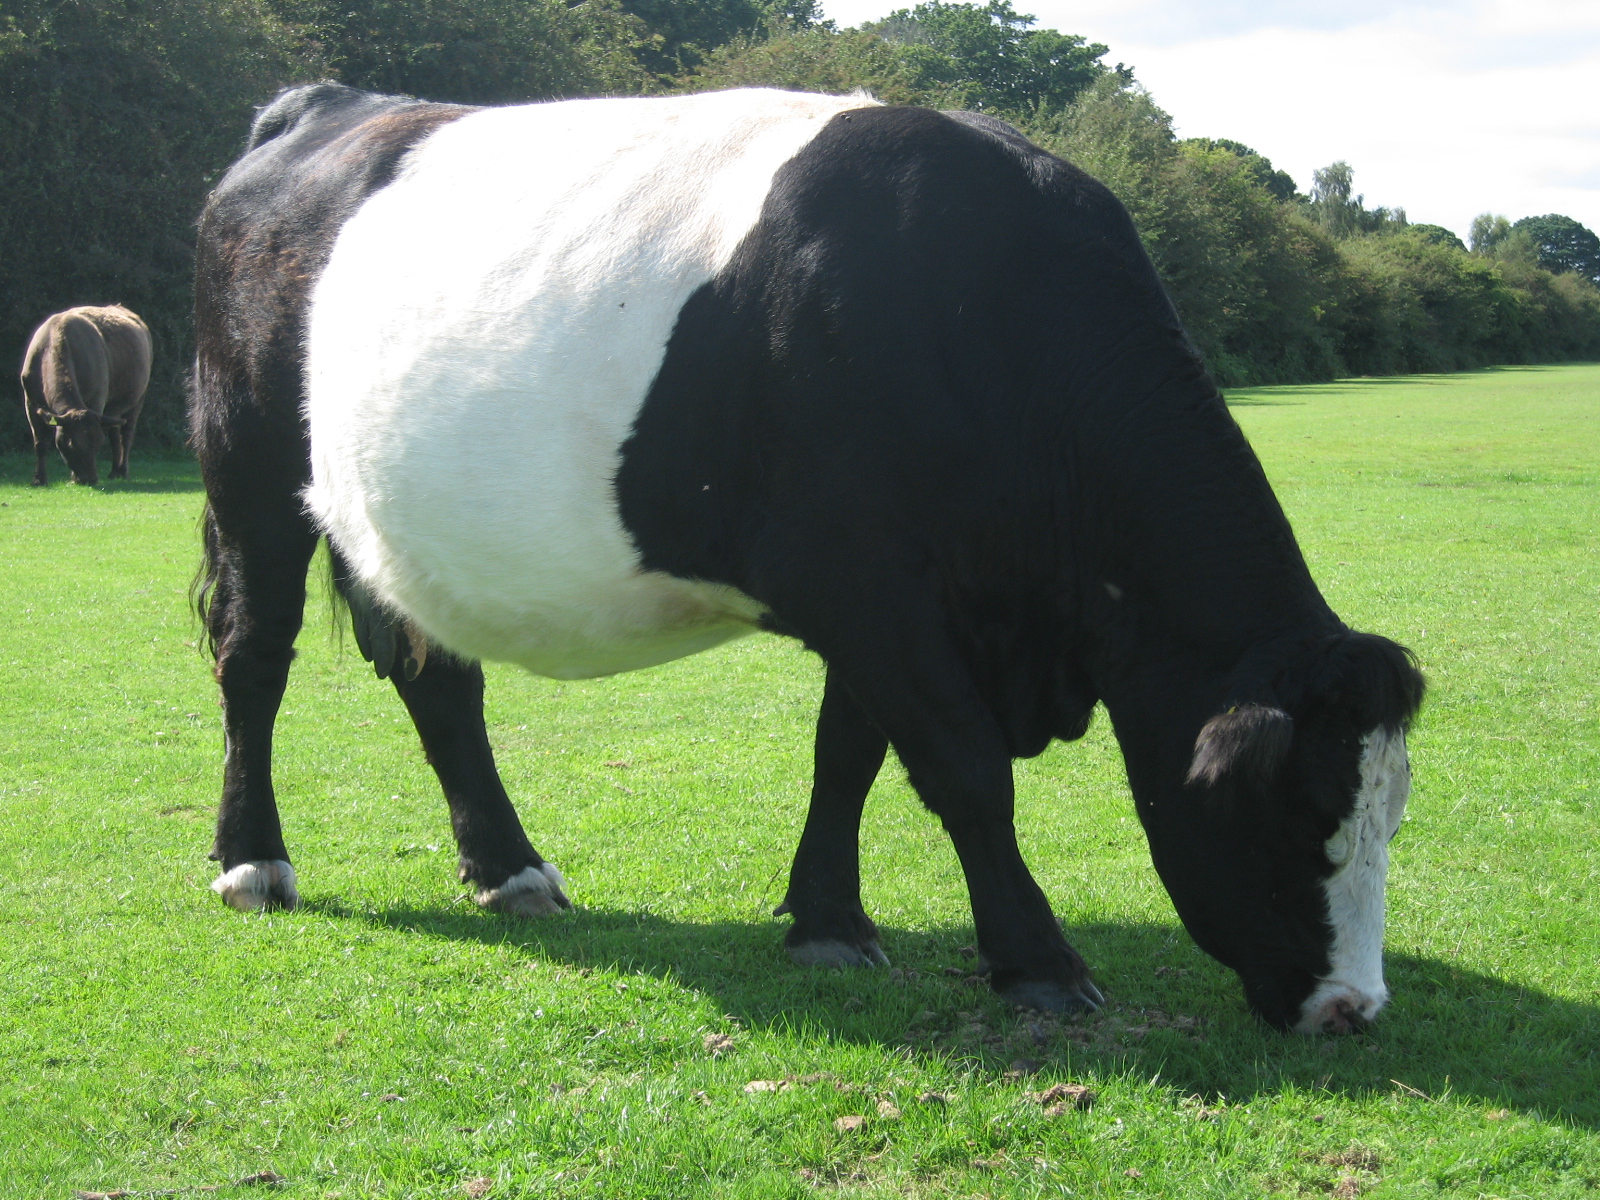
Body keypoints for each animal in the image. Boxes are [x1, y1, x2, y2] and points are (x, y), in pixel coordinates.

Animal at [21, 307, 151, 486]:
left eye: (97, 443)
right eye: (69, 444)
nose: (89, 479)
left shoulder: (96, 401)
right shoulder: (30, 402)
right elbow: (39, 443)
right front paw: (39, 479)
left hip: (138, 400)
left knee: (126, 435)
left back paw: (123, 471)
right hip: (114, 410)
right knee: (114, 435)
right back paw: (114, 472)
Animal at [190, 82, 1427, 1036]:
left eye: (1392, 812)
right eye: (1297, 811)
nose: (1350, 1008)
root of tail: (326, 105)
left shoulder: (886, 596)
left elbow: (850, 754)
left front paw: (829, 922)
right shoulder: (873, 586)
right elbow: (965, 770)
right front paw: (1038, 963)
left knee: (439, 681)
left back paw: (510, 869)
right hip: (250, 473)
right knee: (253, 660)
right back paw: (254, 863)